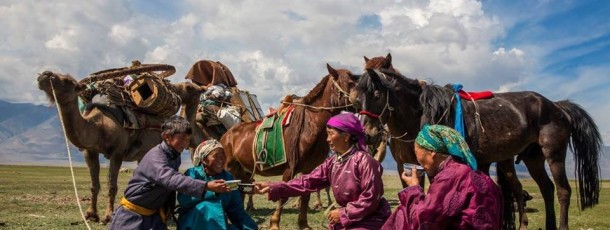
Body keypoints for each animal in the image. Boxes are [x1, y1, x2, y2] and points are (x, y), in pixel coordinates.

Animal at [221, 63, 358, 229]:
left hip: (244, 171)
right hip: (229, 168)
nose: (361, 100)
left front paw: (303, 224)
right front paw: (274, 223)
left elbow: (305, 194)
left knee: (241, 193)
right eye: (349, 83)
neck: (309, 125)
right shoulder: (289, 169)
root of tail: (226, 135)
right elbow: (284, 194)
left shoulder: (308, 169)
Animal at [352, 65, 600, 229]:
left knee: (563, 190)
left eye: (376, 94)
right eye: (357, 100)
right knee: (546, 188)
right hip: (533, 157)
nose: (368, 134)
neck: (423, 113)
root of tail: (556, 106)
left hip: (554, 154)